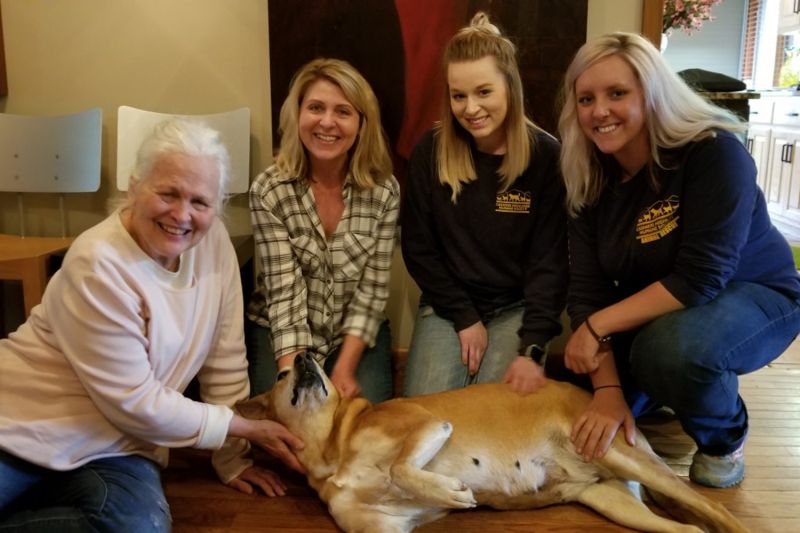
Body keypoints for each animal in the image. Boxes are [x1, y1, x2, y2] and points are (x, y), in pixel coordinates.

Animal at [239, 352, 752, 528]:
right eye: (282, 374)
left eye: (319, 359)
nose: (305, 356)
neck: (333, 448)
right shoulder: (383, 530)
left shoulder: (427, 424)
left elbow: (400, 468)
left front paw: (451, 491)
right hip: (611, 500)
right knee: (690, 530)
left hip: (621, 455)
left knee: (716, 511)